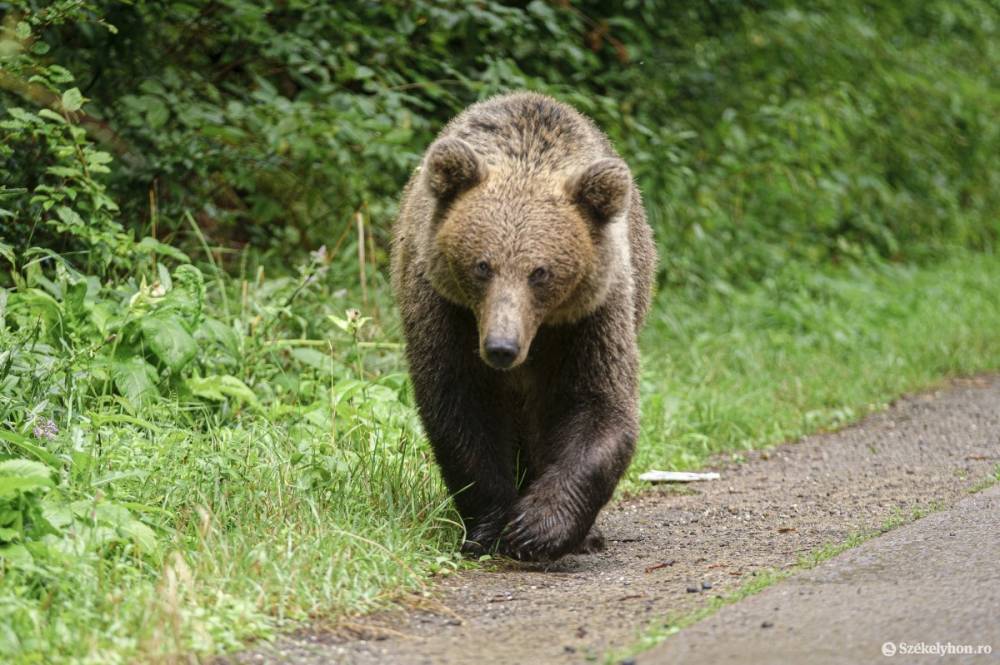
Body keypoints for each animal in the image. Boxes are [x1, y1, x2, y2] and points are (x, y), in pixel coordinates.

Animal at [390, 91, 656, 560]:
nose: (501, 347)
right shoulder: (446, 310)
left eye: (540, 272)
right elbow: (460, 407)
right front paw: (491, 526)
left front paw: (541, 526)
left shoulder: (592, 316)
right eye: (482, 265)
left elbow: (598, 405)